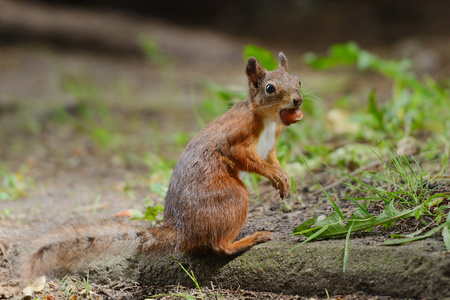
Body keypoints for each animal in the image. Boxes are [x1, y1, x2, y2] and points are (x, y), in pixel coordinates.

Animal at [20, 51, 302, 278]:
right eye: (269, 88)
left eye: (299, 81)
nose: (298, 101)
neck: (267, 119)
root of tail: (183, 231)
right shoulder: (236, 138)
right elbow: (247, 158)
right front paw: (274, 176)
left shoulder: (271, 145)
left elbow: (273, 159)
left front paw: (284, 179)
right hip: (233, 196)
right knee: (220, 246)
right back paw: (251, 239)